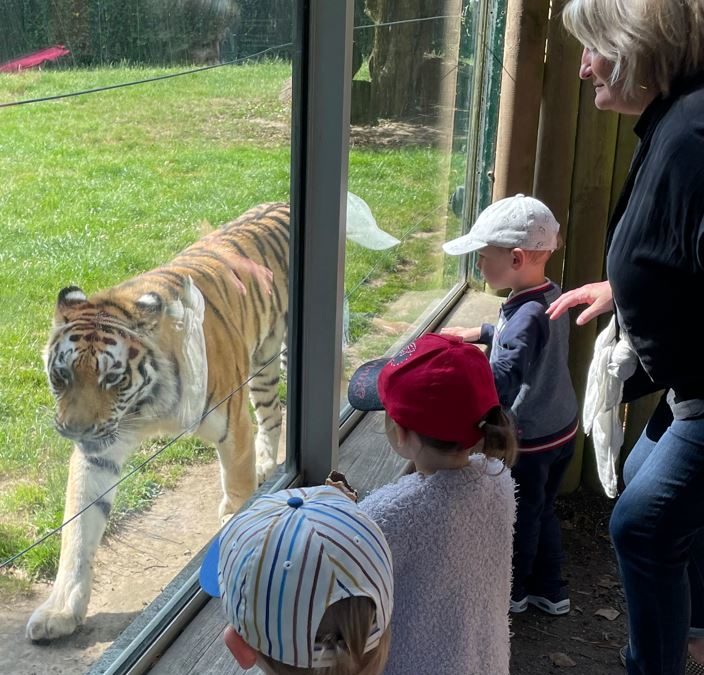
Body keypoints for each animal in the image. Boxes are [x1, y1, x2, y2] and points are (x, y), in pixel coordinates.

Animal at [25, 203, 288, 640]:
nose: (76, 432)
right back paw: (267, 465)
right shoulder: (100, 452)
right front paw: (60, 611)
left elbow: (236, 488)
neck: (144, 407)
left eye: (112, 378)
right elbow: (77, 532)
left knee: (276, 412)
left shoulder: (233, 424)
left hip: (267, 361)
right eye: (61, 375)